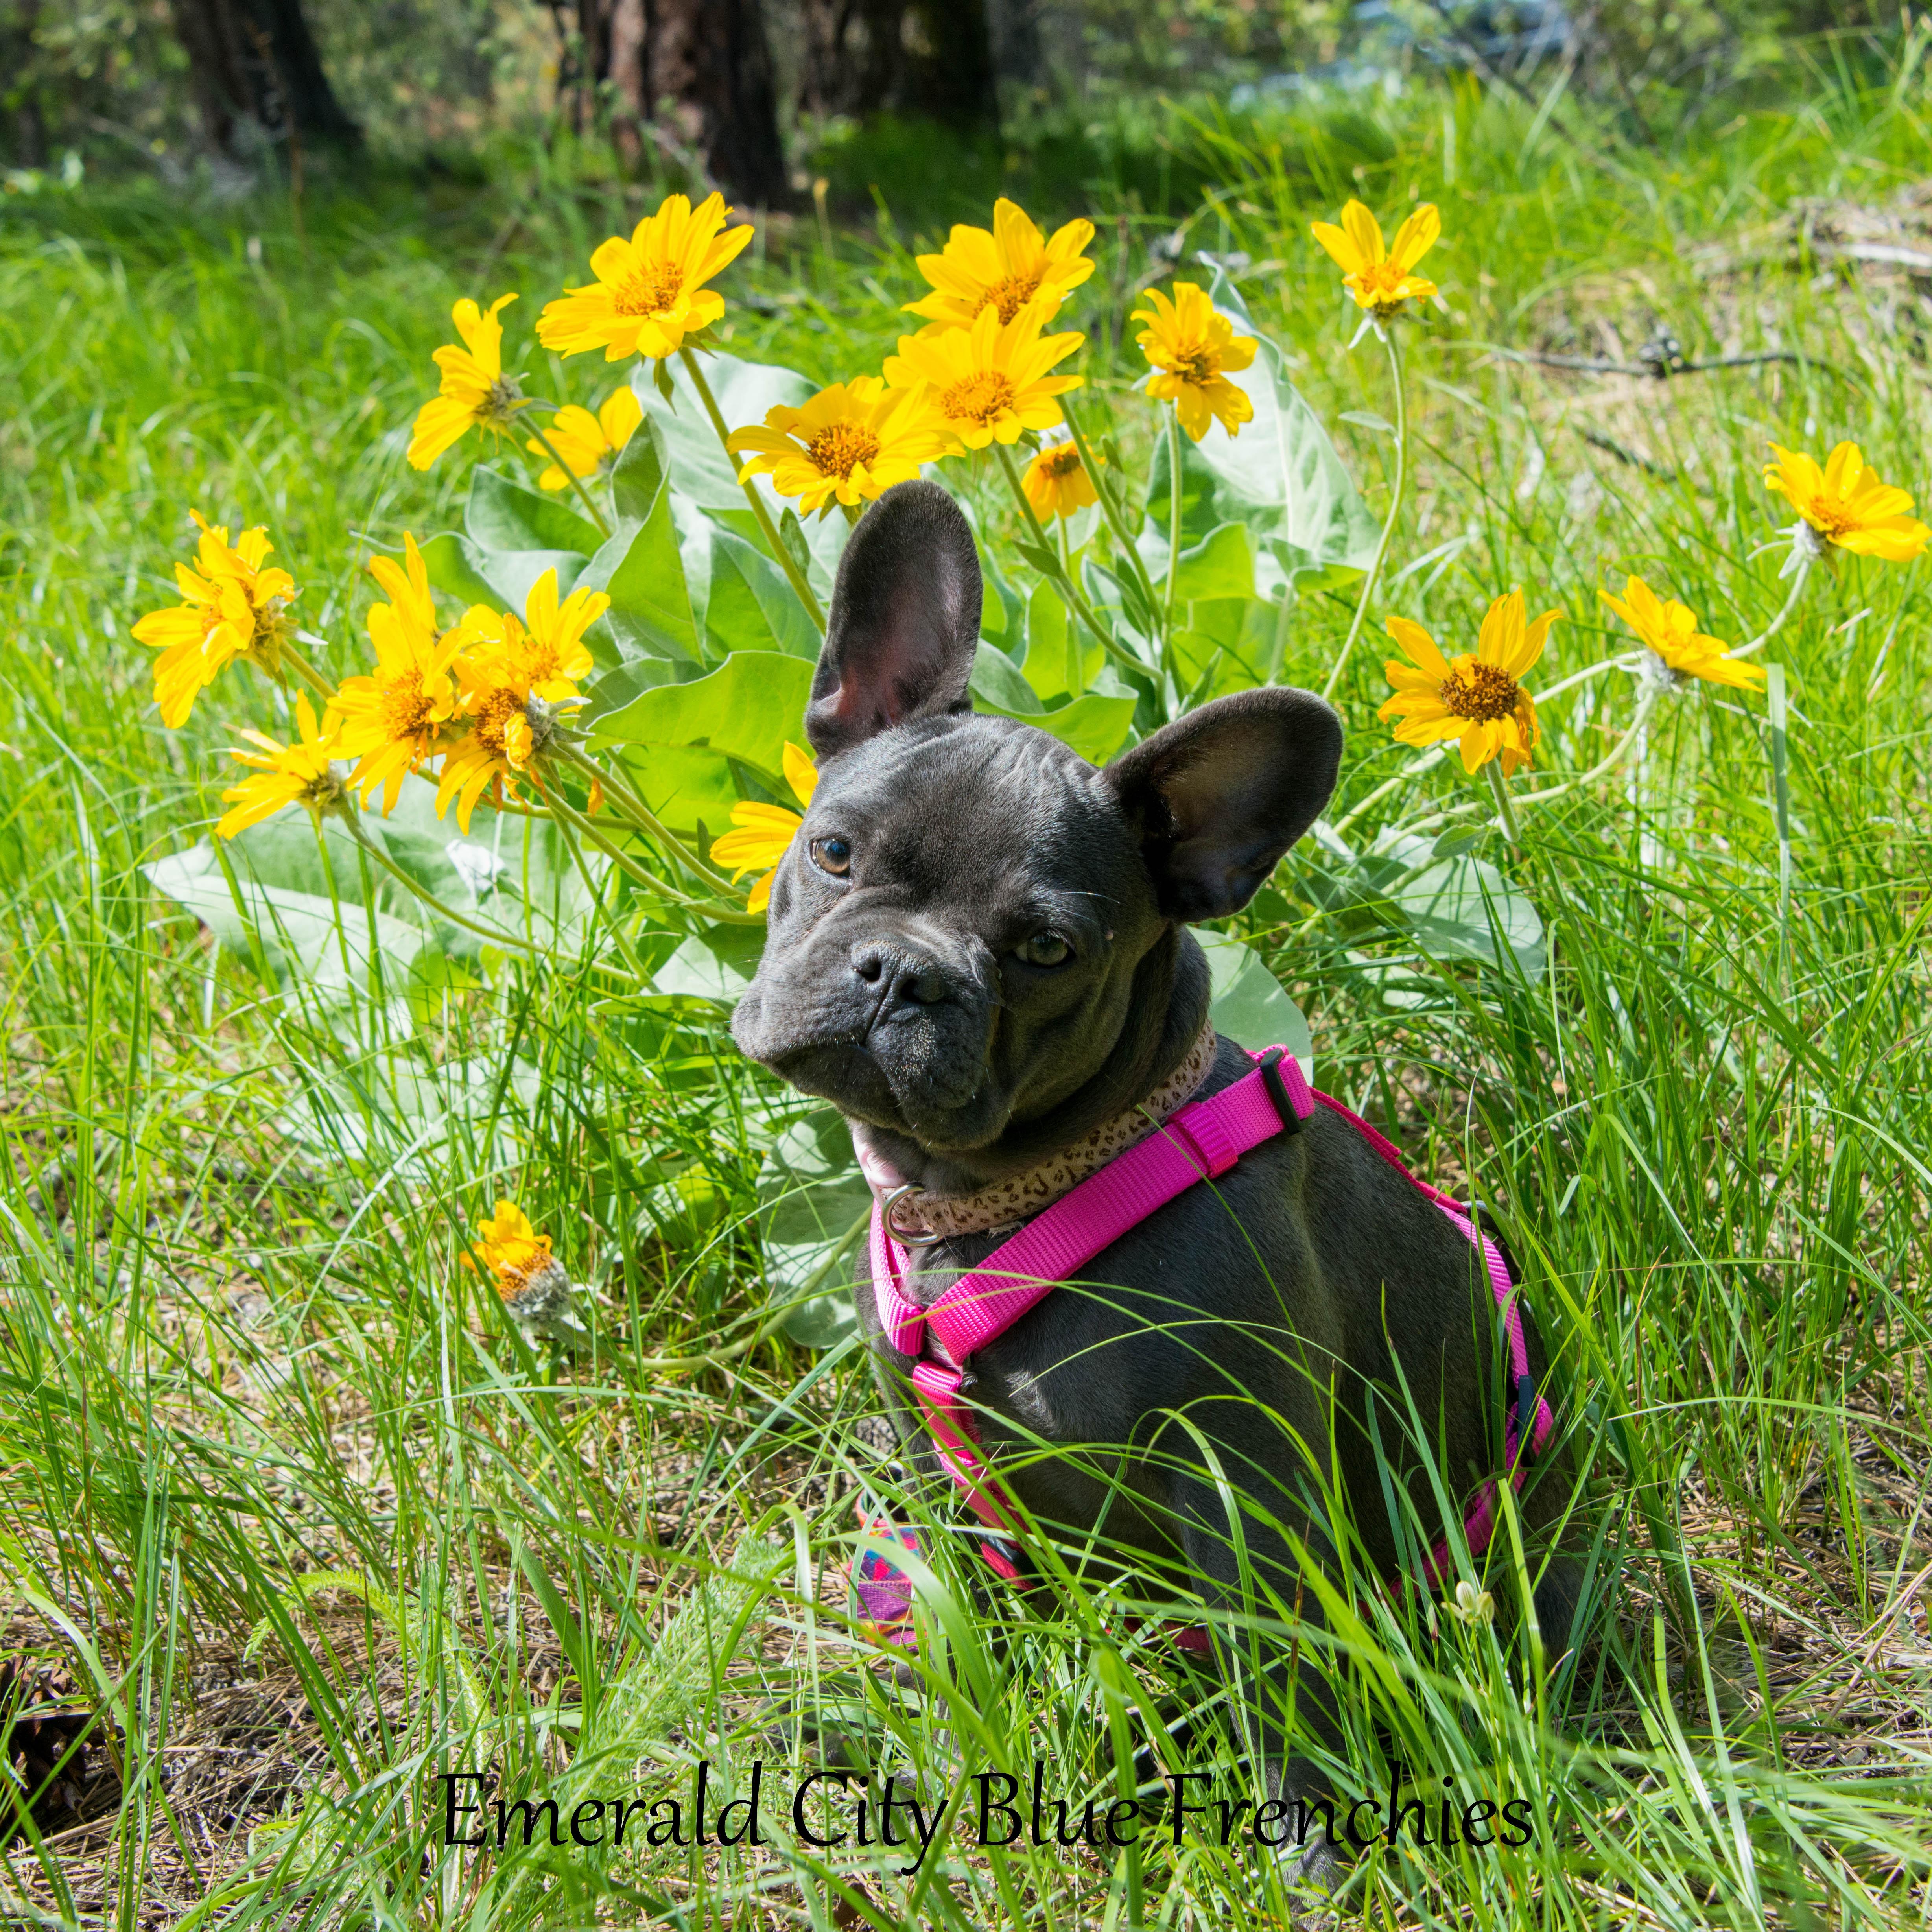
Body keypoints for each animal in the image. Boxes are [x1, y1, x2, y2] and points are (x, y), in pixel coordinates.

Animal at [732, 480, 1581, 1871]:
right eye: (835, 853)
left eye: (1044, 949)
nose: (901, 971)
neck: (996, 1196)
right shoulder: (935, 1469)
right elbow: (962, 1605)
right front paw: (949, 1735)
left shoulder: (1245, 1488)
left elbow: (1276, 1672)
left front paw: (1304, 1835)